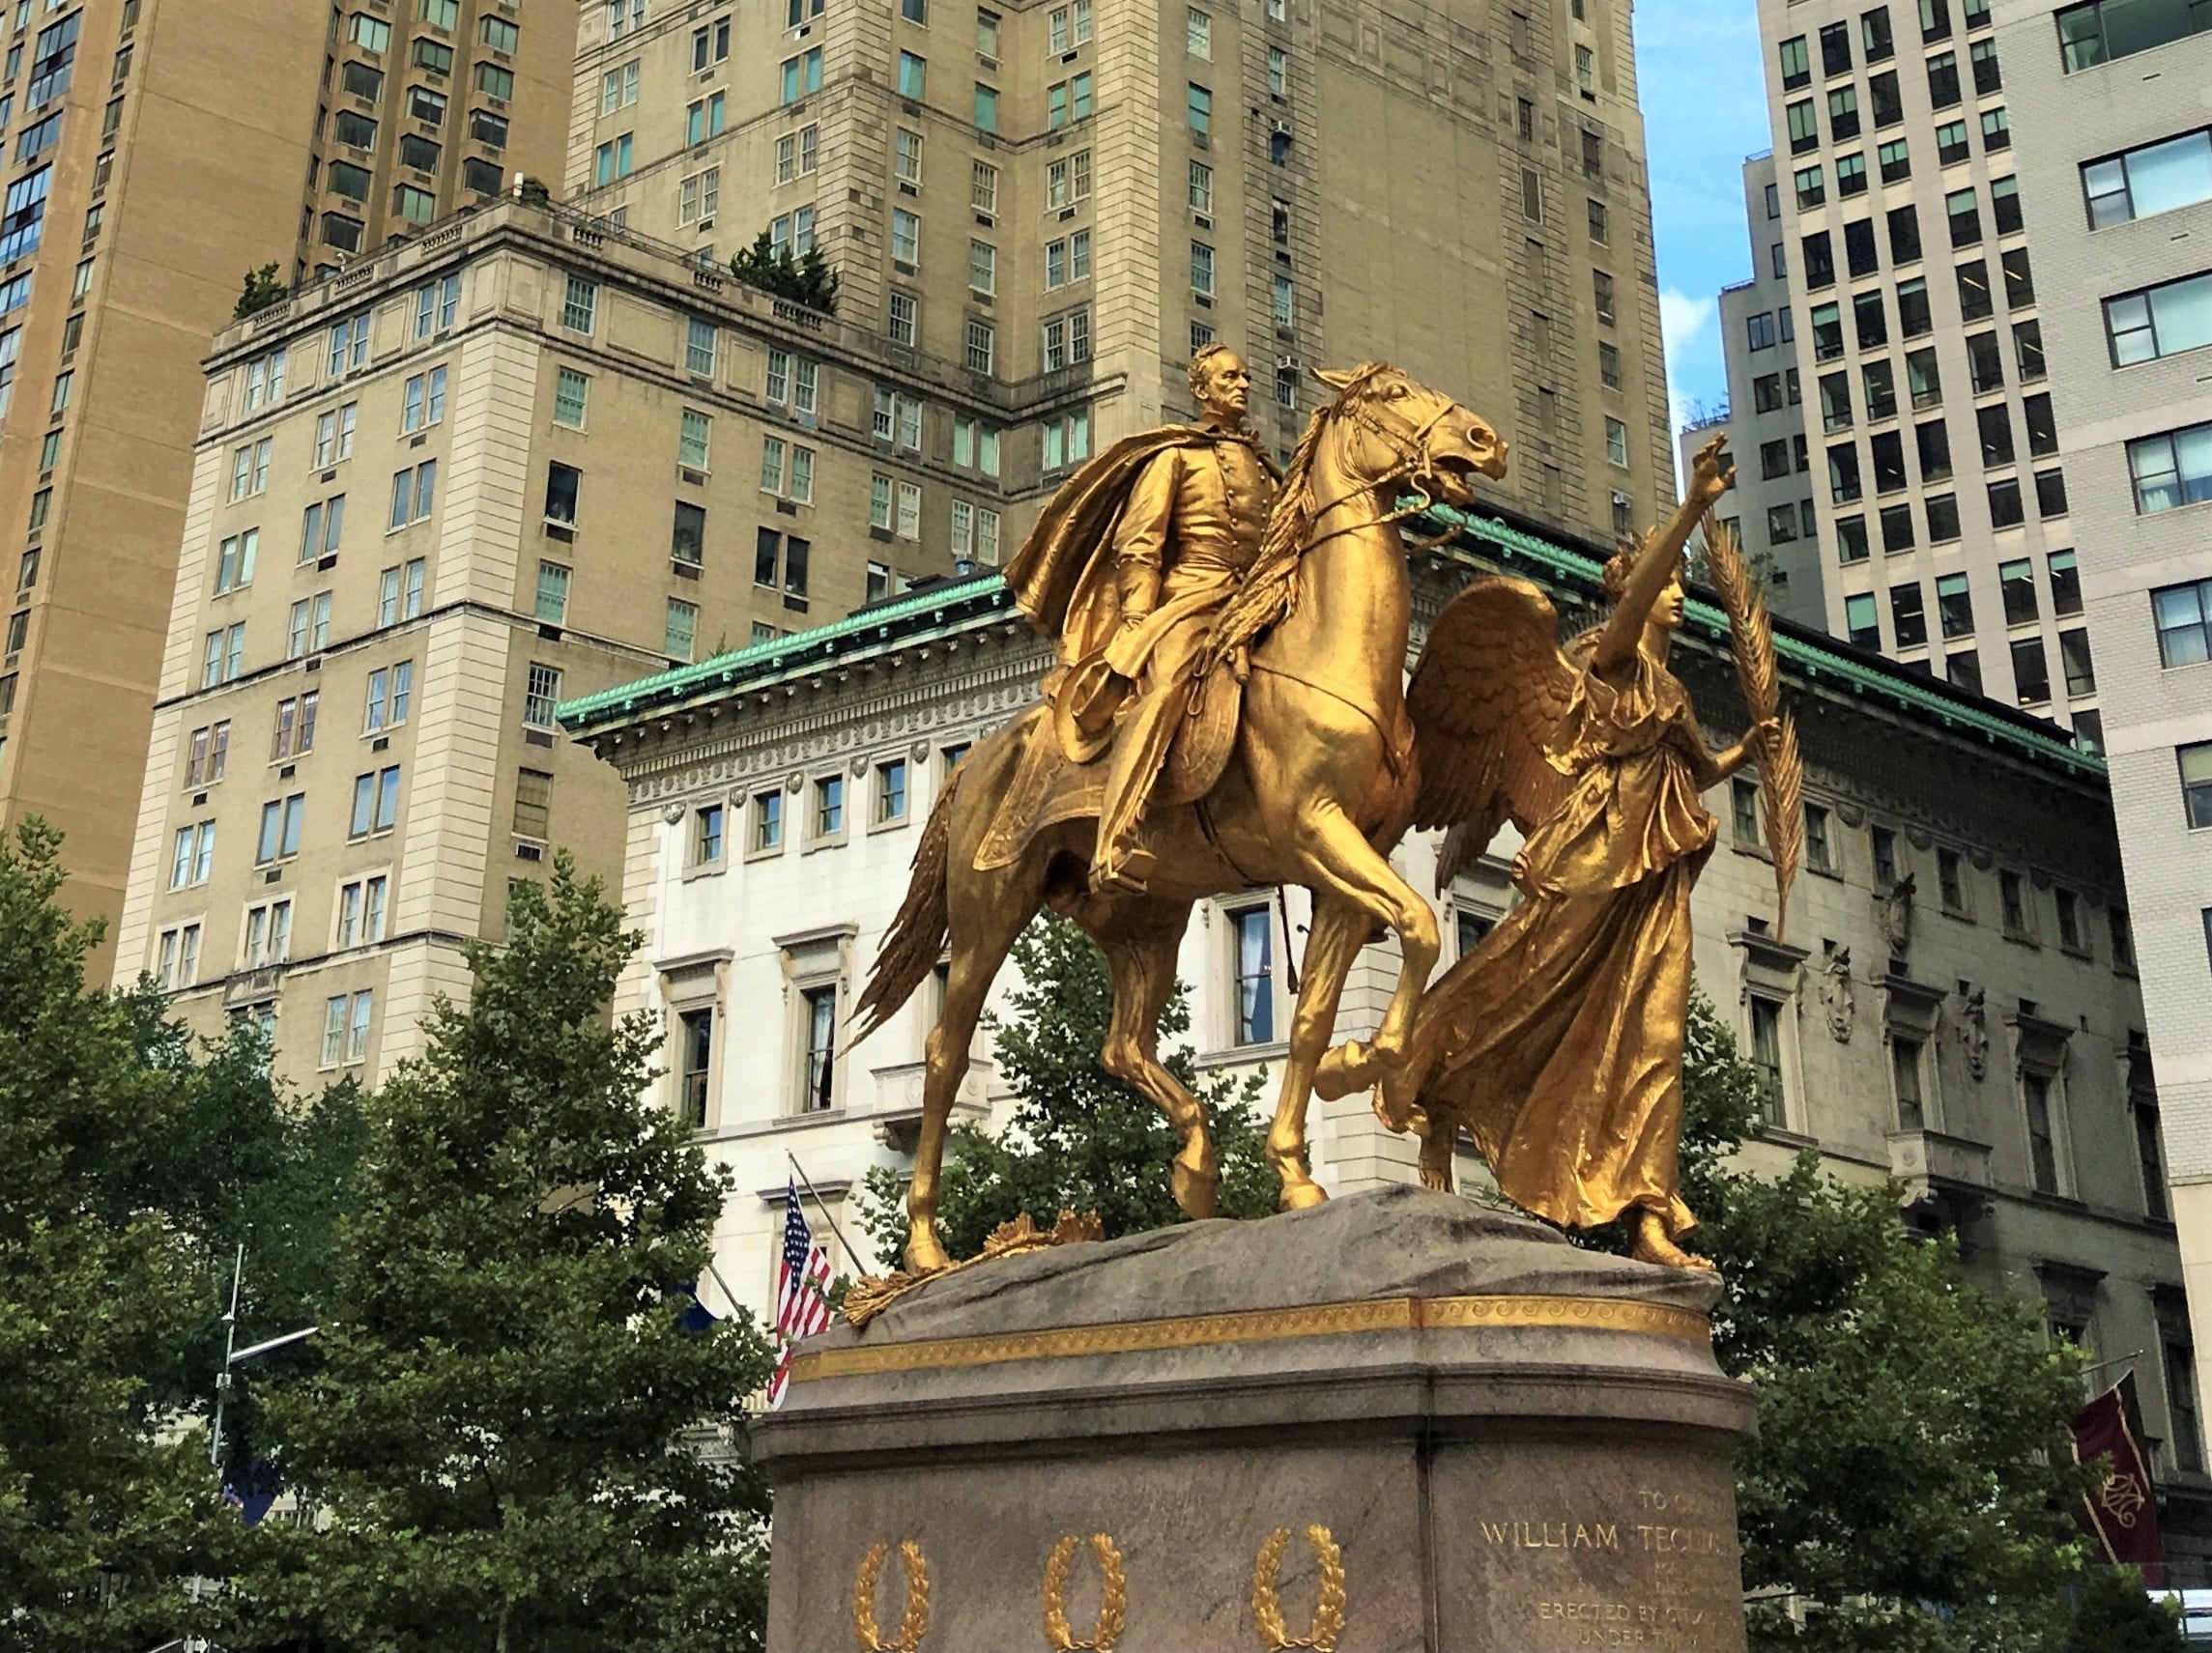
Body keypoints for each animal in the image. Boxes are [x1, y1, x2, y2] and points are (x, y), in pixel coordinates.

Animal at [845, 362, 1504, 1274]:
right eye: (1393, 393)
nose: (1485, 441)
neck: (1326, 654)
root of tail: (978, 755)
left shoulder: (1344, 867)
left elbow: (1315, 1013)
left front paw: (1300, 1162)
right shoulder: (1316, 833)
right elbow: (1419, 926)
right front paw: (1364, 1065)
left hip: (1145, 918)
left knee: (1121, 1046)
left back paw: (1194, 1165)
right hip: (989, 911)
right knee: (945, 1055)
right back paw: (926, 1247)